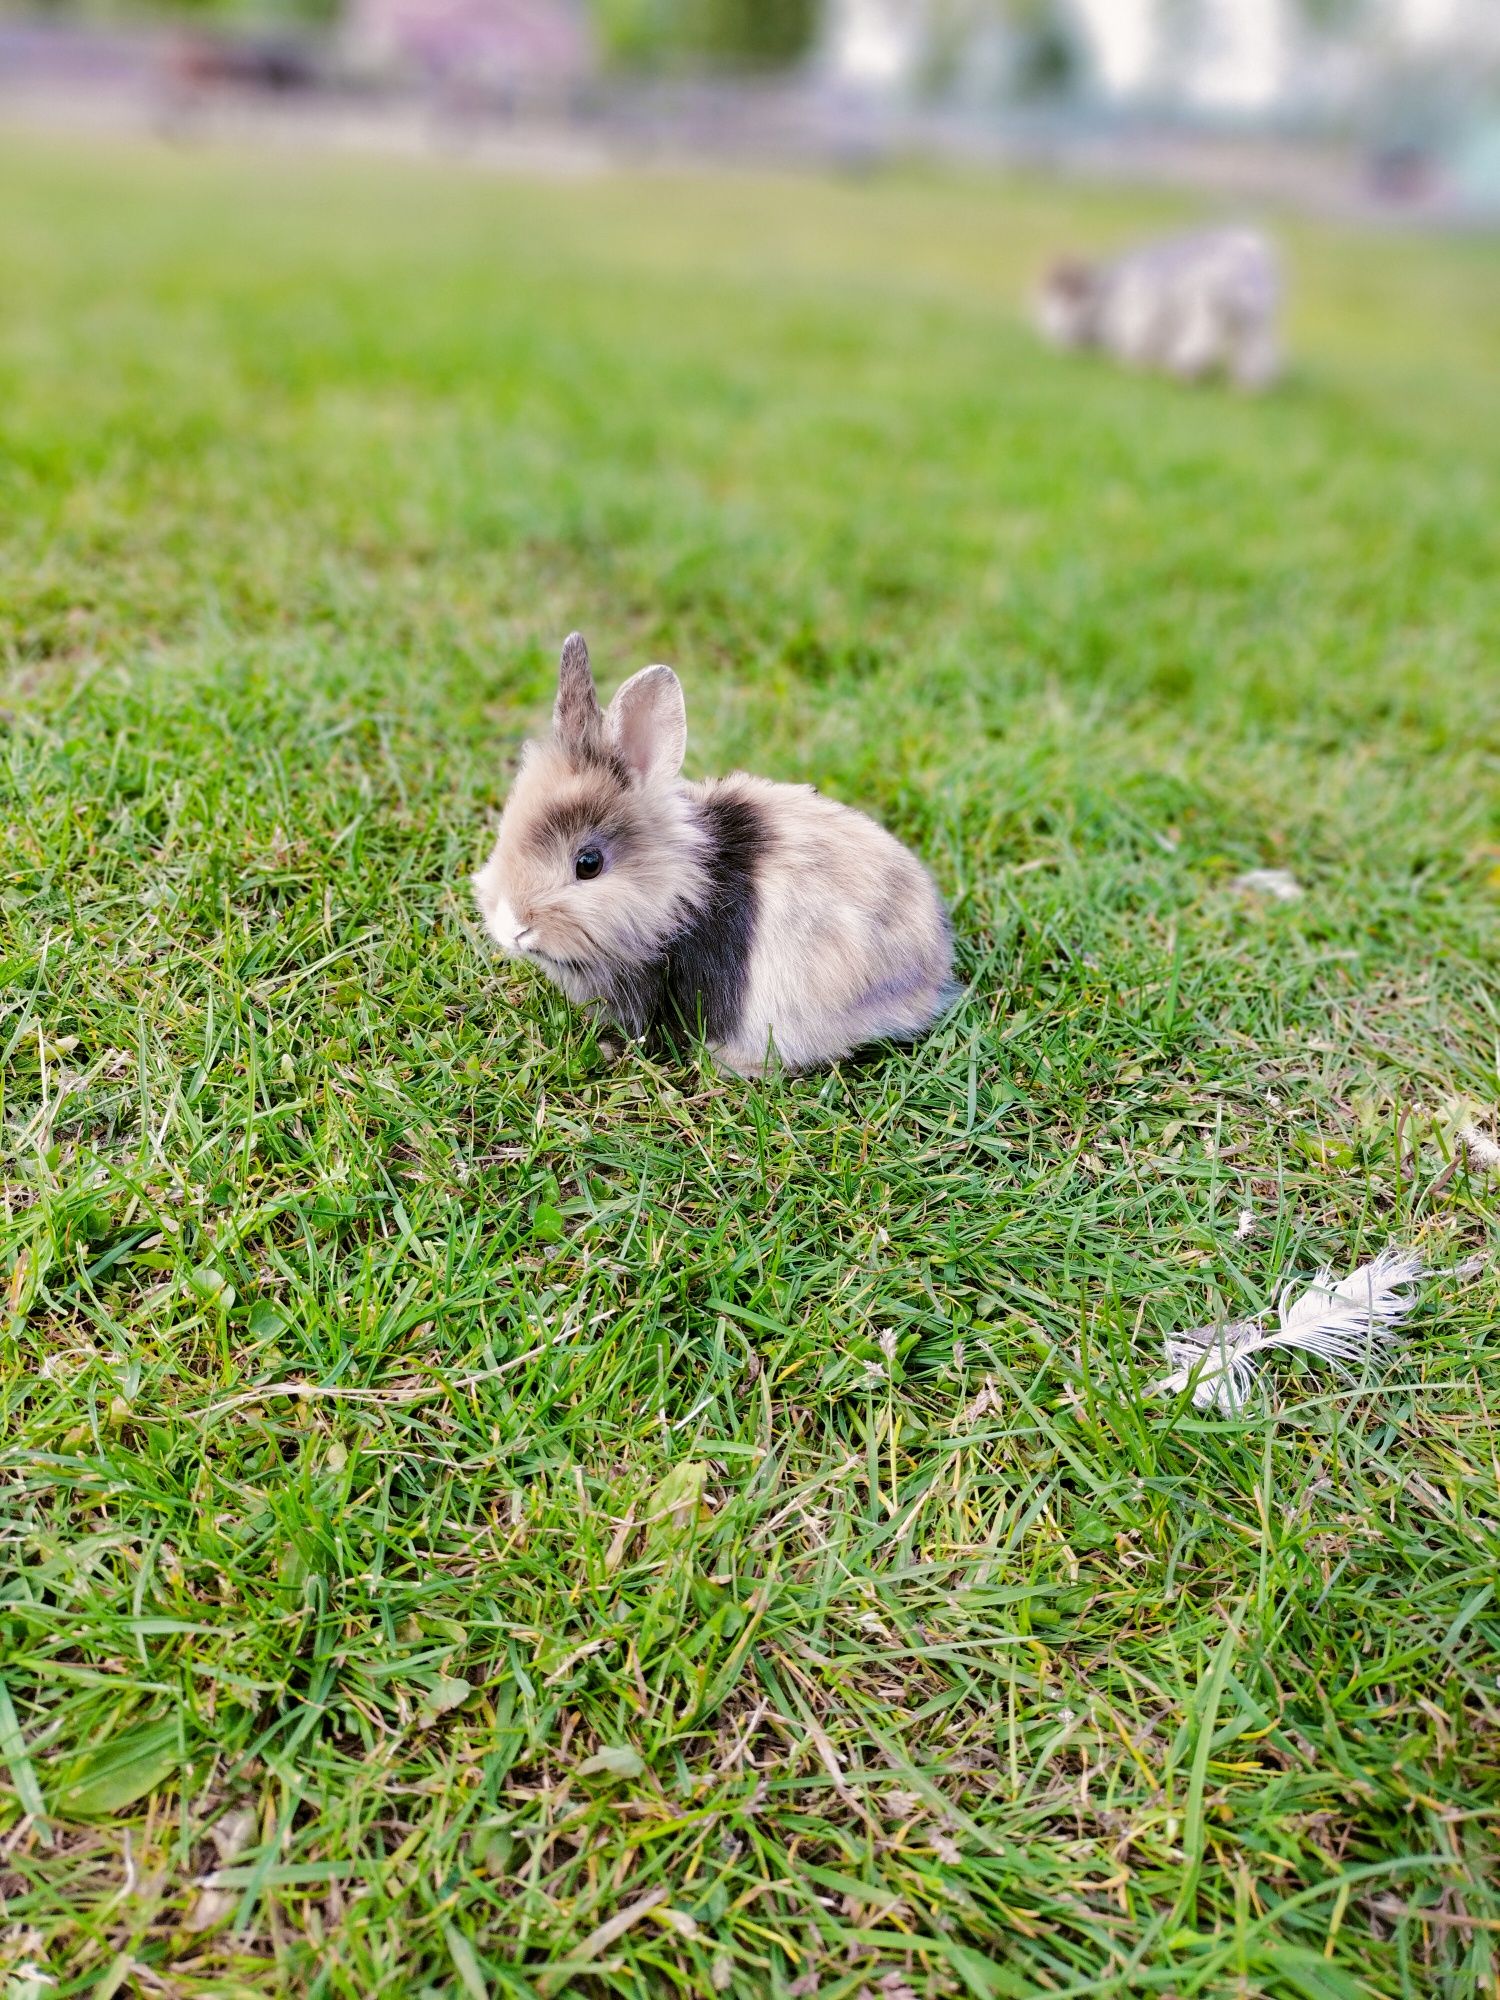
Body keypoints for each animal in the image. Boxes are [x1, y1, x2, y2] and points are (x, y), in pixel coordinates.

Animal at [1040, 227, 1288, 390]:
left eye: (1059, 302)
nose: (1055, 347)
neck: (1105, 297)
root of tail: (1251, 256)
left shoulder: (1138, 322)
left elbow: (1138, 348)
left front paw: (1133, 367)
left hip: (1206, 314)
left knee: (1200, 346)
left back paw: (1183, 375)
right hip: (1256, 324)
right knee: (1256, 357)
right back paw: (1246, 389)